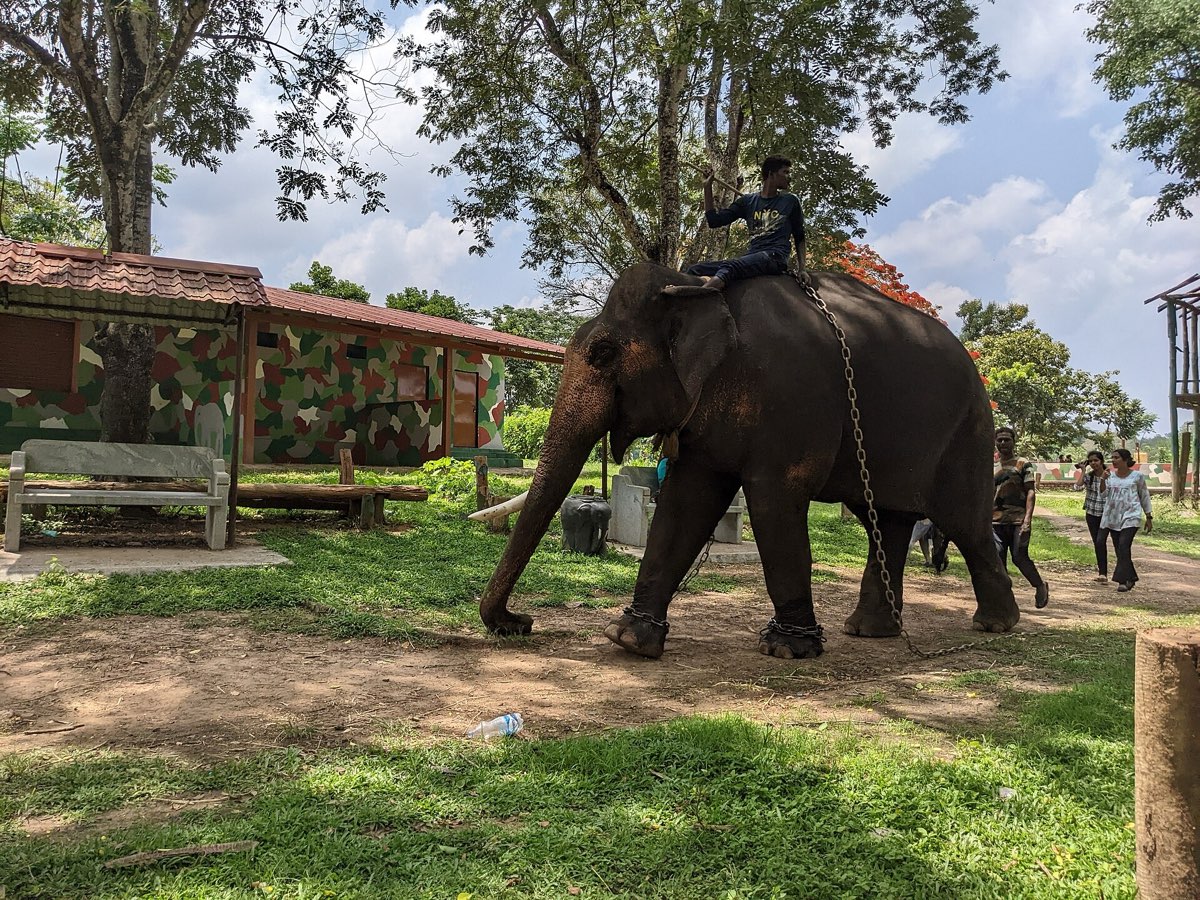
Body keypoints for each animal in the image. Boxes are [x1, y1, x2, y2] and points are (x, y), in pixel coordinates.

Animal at [478, 263, 1020, 660]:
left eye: (604, 352)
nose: (520, 623)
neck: (697, 289)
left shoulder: (792, 398)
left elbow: (773, 502)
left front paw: (788, 649)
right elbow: (684, 504)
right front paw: (628, 638)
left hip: (969, 434)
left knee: (965, 523)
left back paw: (996, 624)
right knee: (884, 521)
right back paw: (869, 631)